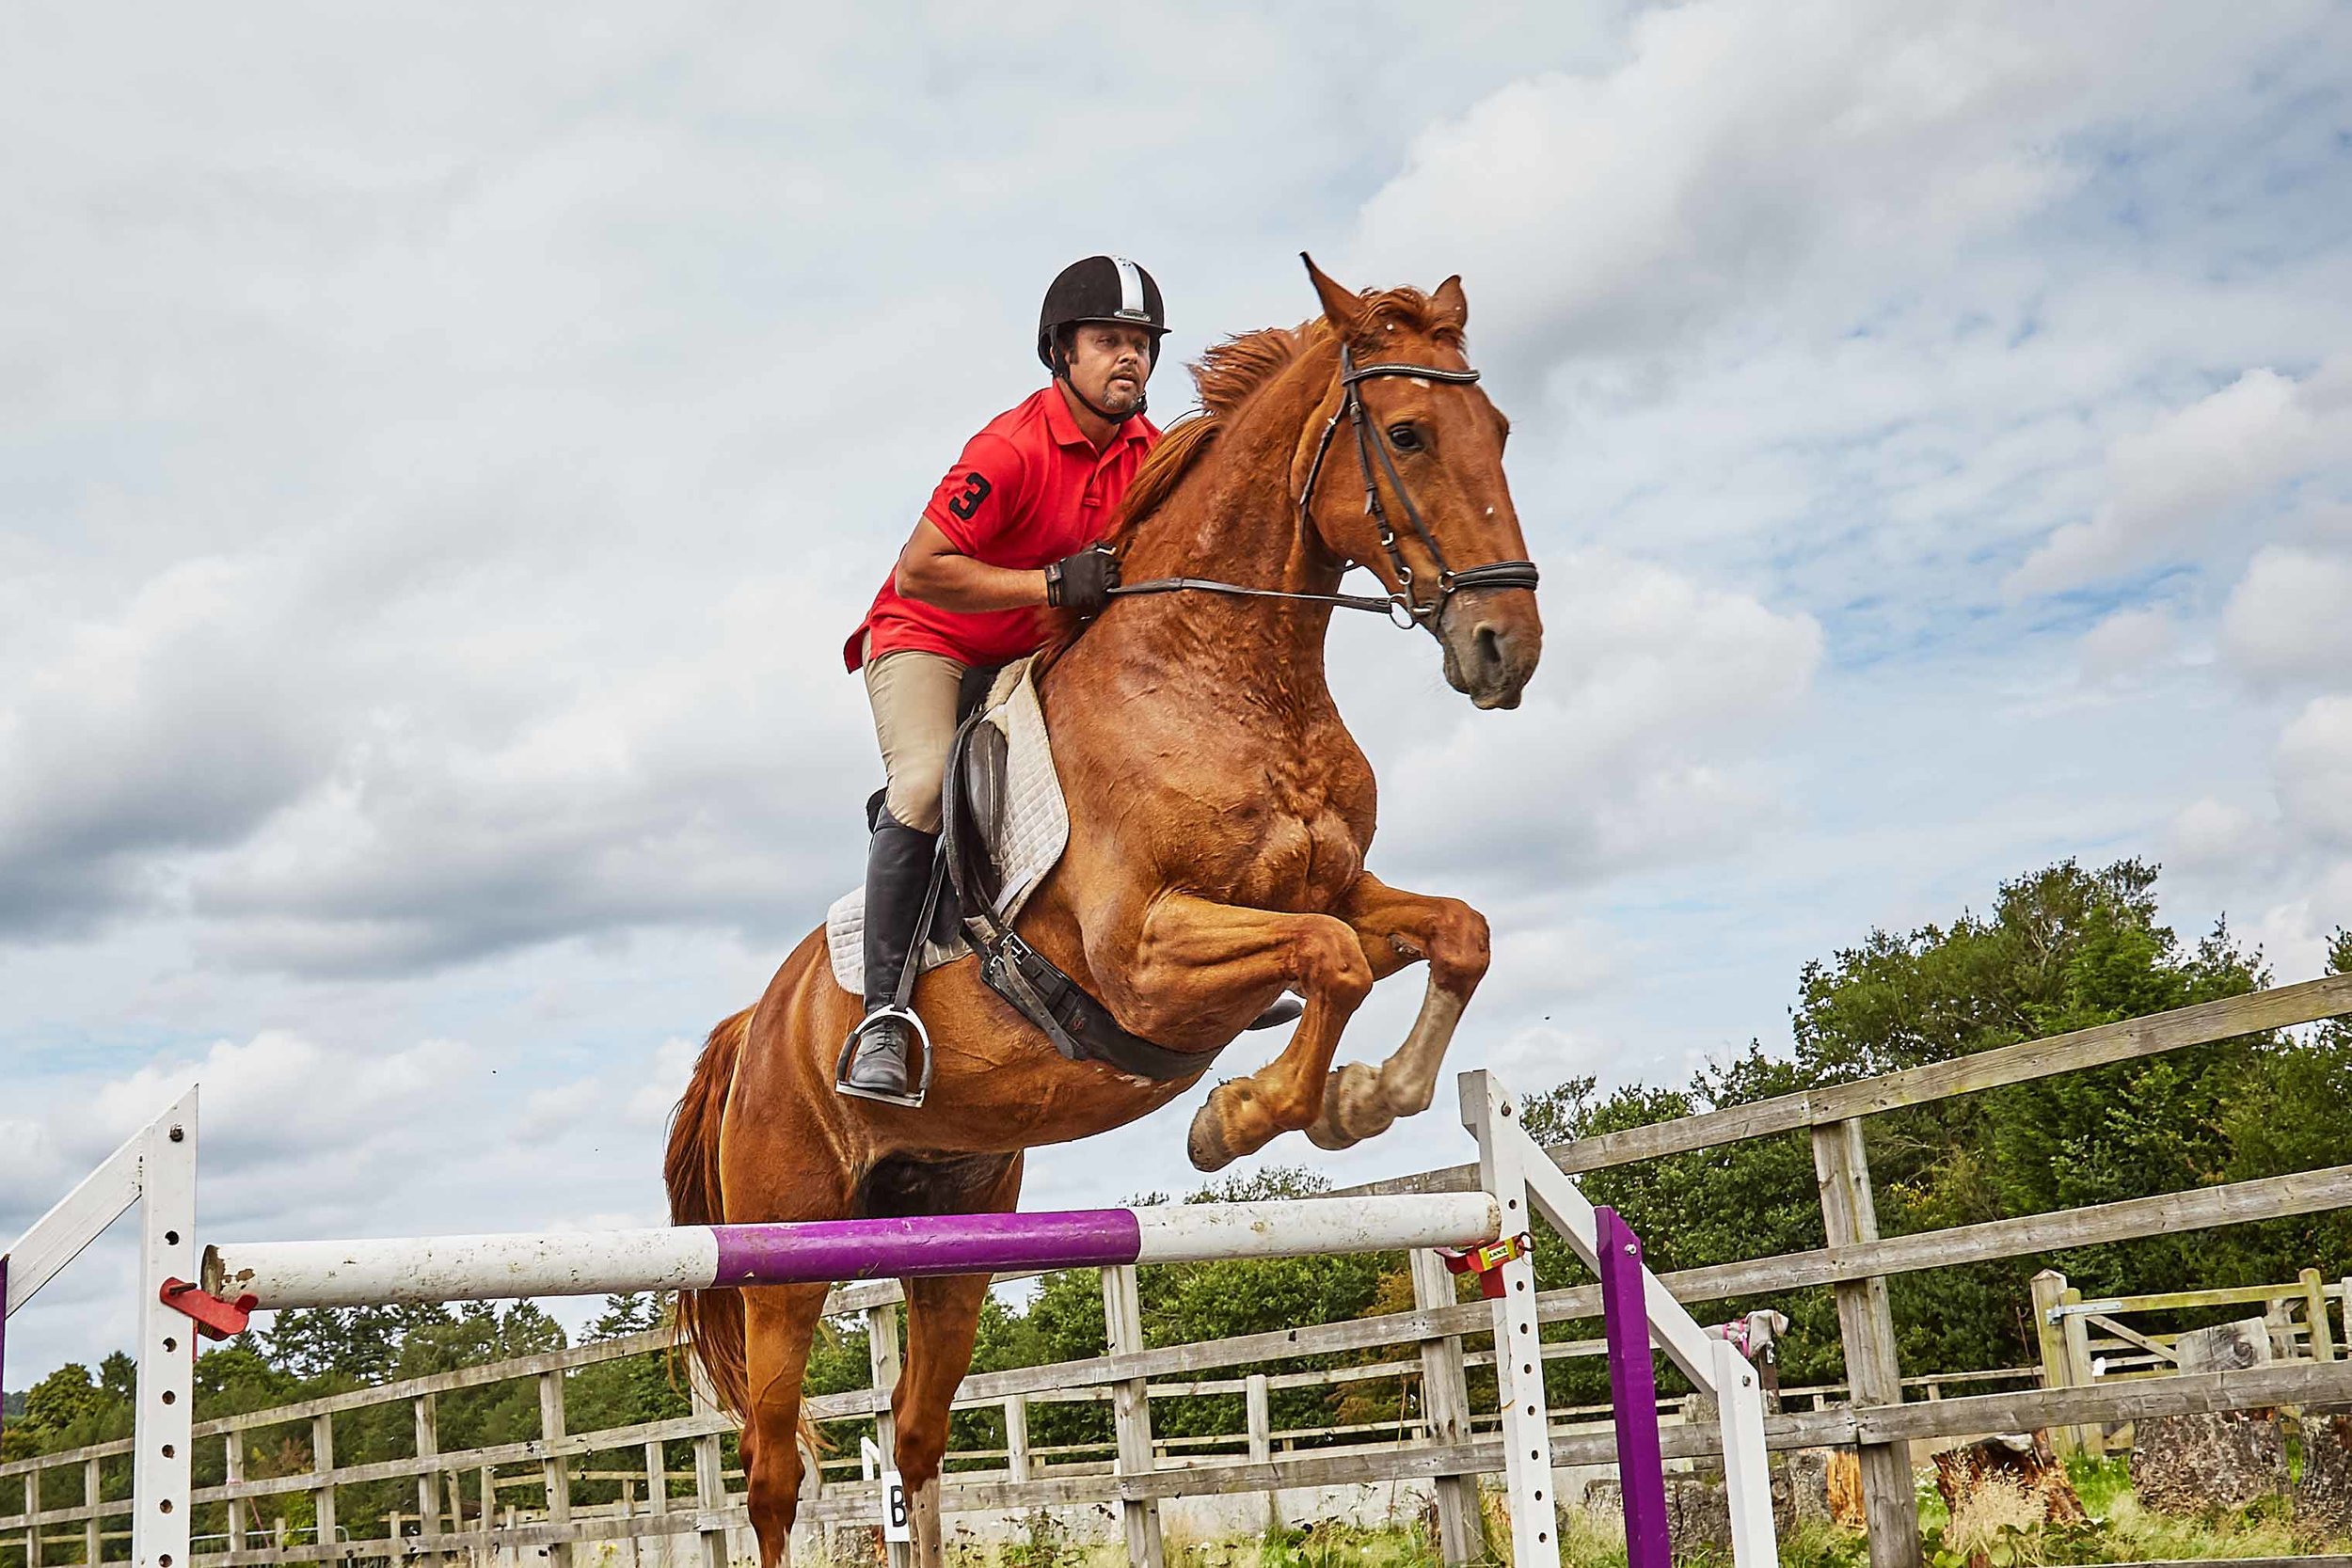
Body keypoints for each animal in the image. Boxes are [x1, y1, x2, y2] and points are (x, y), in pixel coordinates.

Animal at [663, 261, 1543, 1568]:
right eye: (1405, 434)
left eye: (1499, 431)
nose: (1504, 648)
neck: (1226, 670)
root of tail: (755, 1026)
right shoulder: (1141, 956)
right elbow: (1330, 961)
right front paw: (1242, 1118)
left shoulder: (1341, 886)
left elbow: (1450, 931)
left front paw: (1361, 1098)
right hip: (784, 1255)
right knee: (775, 1469)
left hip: (954, 1236)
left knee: (915, 1437)